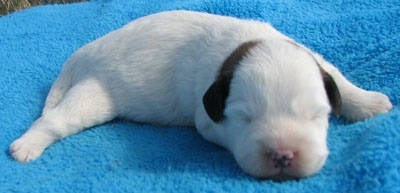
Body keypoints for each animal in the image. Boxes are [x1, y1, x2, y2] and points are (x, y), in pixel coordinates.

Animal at [10, 10, 394, 179]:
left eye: (317, 116)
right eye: (245, 119)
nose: (284, 156)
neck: (242, 47)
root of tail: (83, 54)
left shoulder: (318, 61)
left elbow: (339, 80)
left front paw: (371, 102)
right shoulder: (207, 119)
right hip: (93, 95)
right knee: (55, 120)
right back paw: (26, 146)